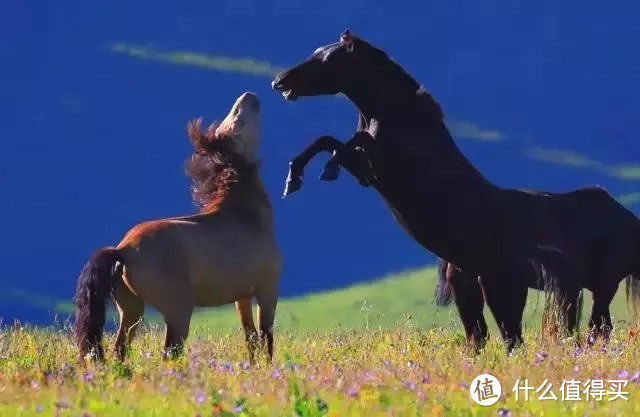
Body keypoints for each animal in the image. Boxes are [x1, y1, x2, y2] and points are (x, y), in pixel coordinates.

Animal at [72, 91, 280, 360]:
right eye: (238, 121)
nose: (250, 96)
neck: (247, 217)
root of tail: (123, 249)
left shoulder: (241, 297)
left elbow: (251, 338)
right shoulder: (267, 291)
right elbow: (266, 337)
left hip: (131, 311)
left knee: (121, 348)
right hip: (178, 312)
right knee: (170, 351)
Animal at [272, 30, 640, 352]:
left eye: (325, 59)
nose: (279, 81)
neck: (399, 115)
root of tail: (626, 218)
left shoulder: (376, 165)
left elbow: (340, 143)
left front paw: (320, 171)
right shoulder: (366, 169)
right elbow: (328, 141)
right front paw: (294, 178)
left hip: (535, 286)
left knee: (564, 331)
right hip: (485, 286)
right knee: (501, 337)